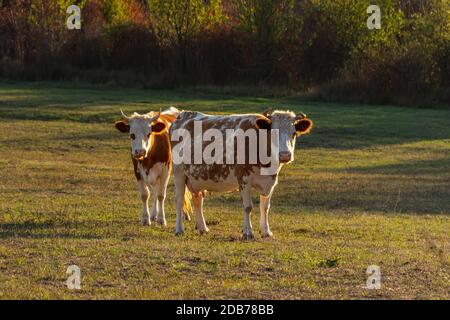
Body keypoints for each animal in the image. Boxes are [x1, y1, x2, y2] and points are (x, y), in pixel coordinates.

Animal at [169, 109, 312, 238]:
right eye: (273, 133)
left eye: (294, 133)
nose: (285, 155)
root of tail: (184, 115)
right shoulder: (244, 179)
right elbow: (248, 207)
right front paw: (248, 232)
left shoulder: (270, 182)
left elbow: (265, 207)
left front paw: (266, 231)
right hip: (179, 174)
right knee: (179, 201)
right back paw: (179, 229)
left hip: (197, 177)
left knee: (198, 200)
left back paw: (203, 228)